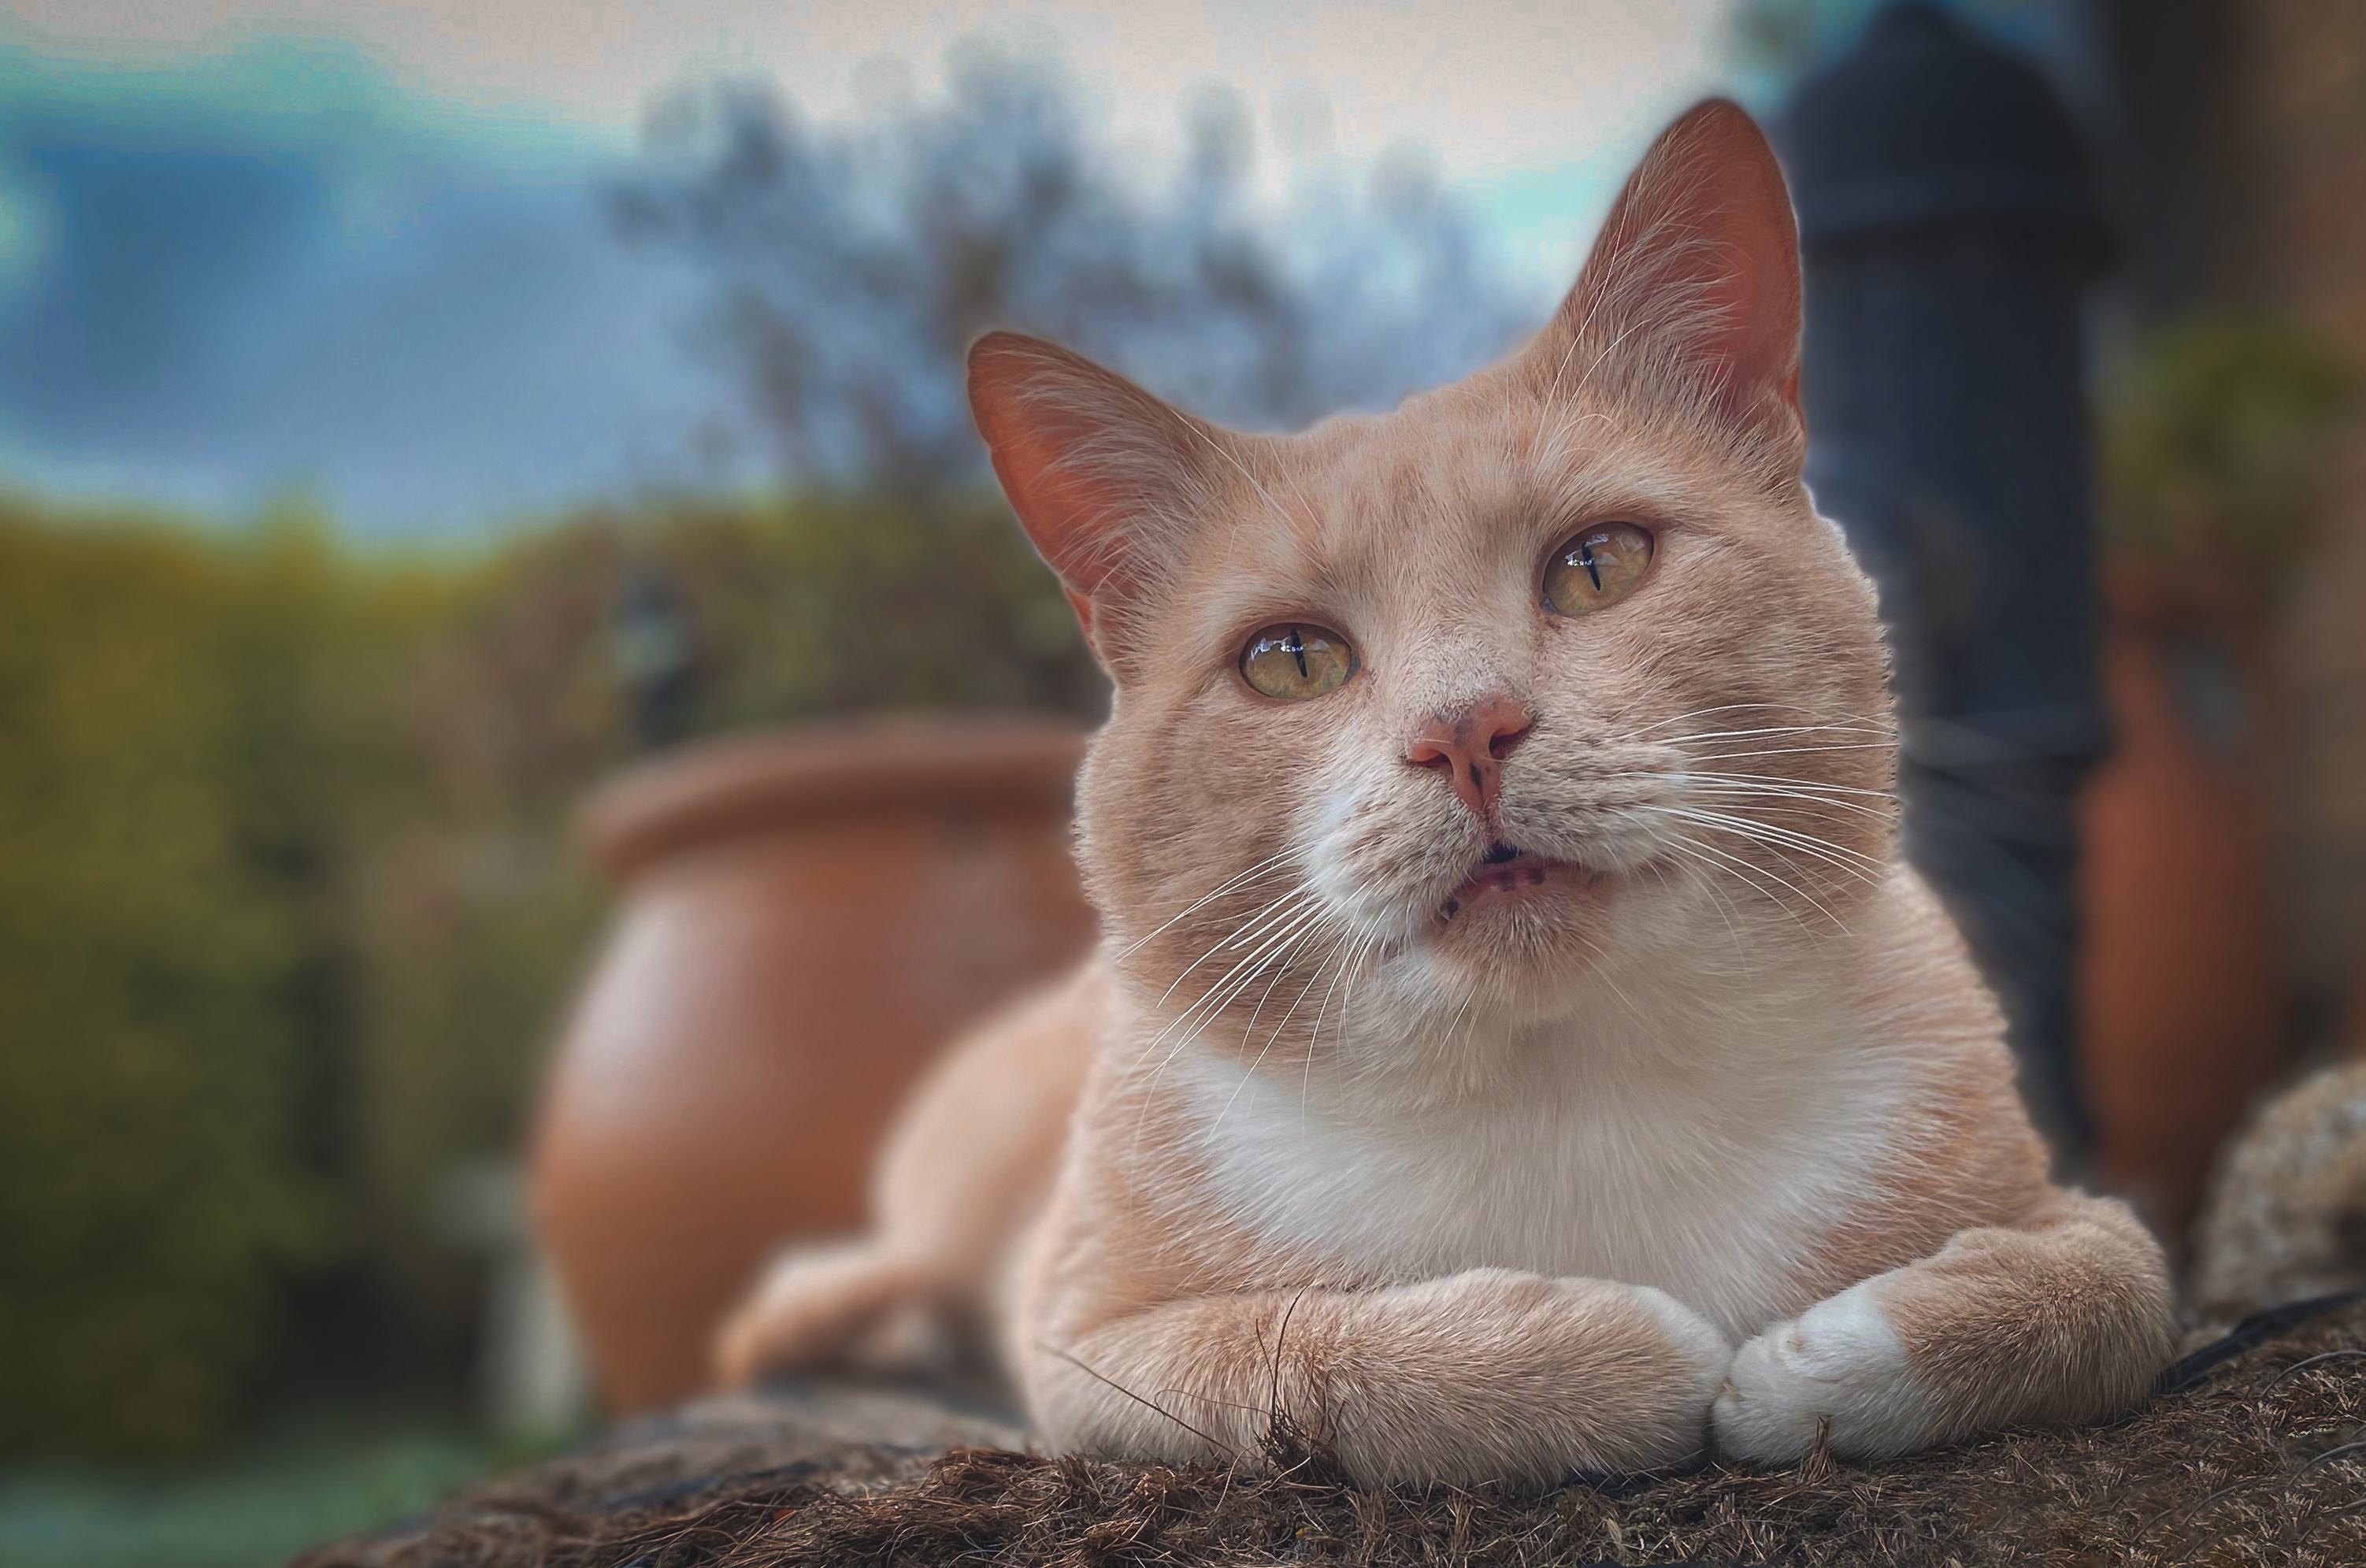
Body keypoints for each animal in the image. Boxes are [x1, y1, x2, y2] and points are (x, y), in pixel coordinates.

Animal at [710, 98, 2167, 1485]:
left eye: (1597, 565)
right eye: (1290, 660)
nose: (1463, 729)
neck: (1566, 1084)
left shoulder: (2065, 1209)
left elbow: (2104, 1296)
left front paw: (1819, 1364)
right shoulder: (1094, 1346)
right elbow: (1305, 1353)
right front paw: (1614, 1354)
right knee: (882, 1258)